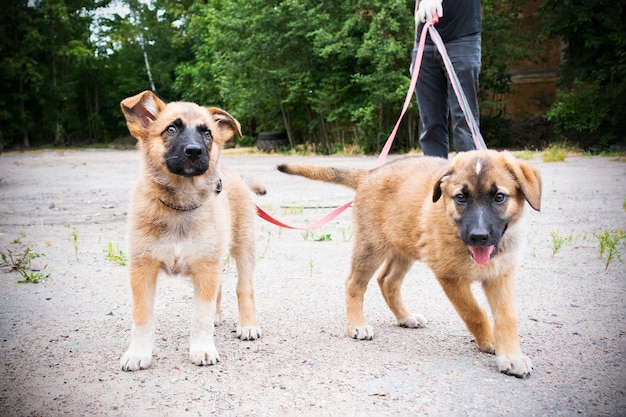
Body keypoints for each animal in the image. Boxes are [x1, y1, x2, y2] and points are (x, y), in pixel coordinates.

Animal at [120, 91, 262, 370]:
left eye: (207, 133)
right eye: (171, 129)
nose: (195, 152)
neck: (179, 206)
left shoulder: (205, 267)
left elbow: (200, 317)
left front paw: (203, 349)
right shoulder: (142, 268)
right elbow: (142, 317)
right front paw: (138, 353)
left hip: (244, 248)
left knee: (244, 287)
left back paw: (248, 325)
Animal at [276, 150, 540, 376]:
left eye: (499, 197)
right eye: (460, 198)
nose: (479, 236)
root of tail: (370, 174)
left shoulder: (500, 275)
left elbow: (507, 318)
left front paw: (511, 356)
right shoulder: (450, 277)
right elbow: (474, 312)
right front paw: (489, 341)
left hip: (404, 247)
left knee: (387, 281)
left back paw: (405, 317)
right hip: (371, 246)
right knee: (355, 283)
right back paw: (357, 325)